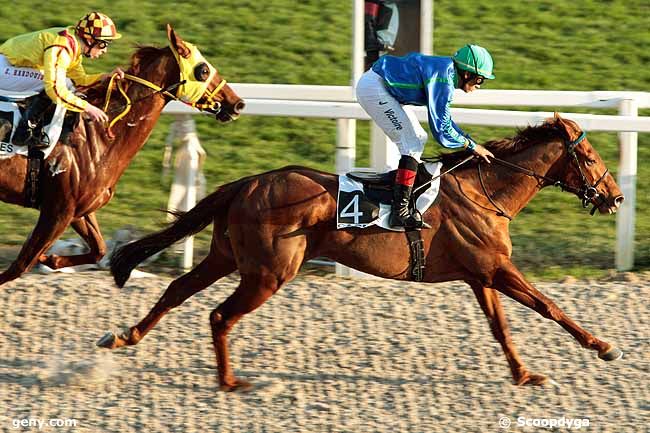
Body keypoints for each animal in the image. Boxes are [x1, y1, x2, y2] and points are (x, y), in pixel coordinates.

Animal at [0, 25, 242, 286]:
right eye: (203, 70)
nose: (237, 104)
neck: (97, 136)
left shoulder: (79, 211)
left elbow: (99, 249)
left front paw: (51, 259)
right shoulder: (57, 211)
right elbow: (19, 265)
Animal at [100, 113, 624, 390]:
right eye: (591, 157)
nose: (615, 197)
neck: (484, 190)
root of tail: (246, 183)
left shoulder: (481, 275)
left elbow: (500, 327)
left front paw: (523, 373)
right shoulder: (496, 268)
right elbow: (550, 307)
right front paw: (603, 347)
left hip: (227, 257)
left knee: (177, 289)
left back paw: (124, 336)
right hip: (268, 273)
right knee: (219, 315)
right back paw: (230, 381)